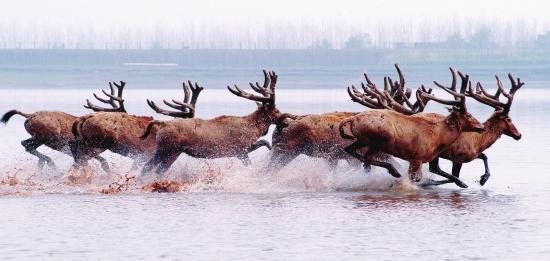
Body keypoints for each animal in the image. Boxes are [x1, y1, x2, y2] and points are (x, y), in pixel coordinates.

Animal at [140, 70, 282, 174]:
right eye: (276, 111)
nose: (282, 117)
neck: (254, 128)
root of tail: (162, 124)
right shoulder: (240, 149)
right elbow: (255, 154)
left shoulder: (241, 150)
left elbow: (263, 142)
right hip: (171, 150)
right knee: (157, 170)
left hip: (163, 150)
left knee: (146, 167)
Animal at [340, 68, 488, 187]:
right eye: (468, 115)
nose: (481, 127)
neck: (438, 138)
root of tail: (353, 119)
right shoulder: (416, 157)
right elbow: (415, 178)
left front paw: (463, 183)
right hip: (377, 141)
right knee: (367, 158)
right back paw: (394, 172)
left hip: (362, 140)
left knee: (351, 150)